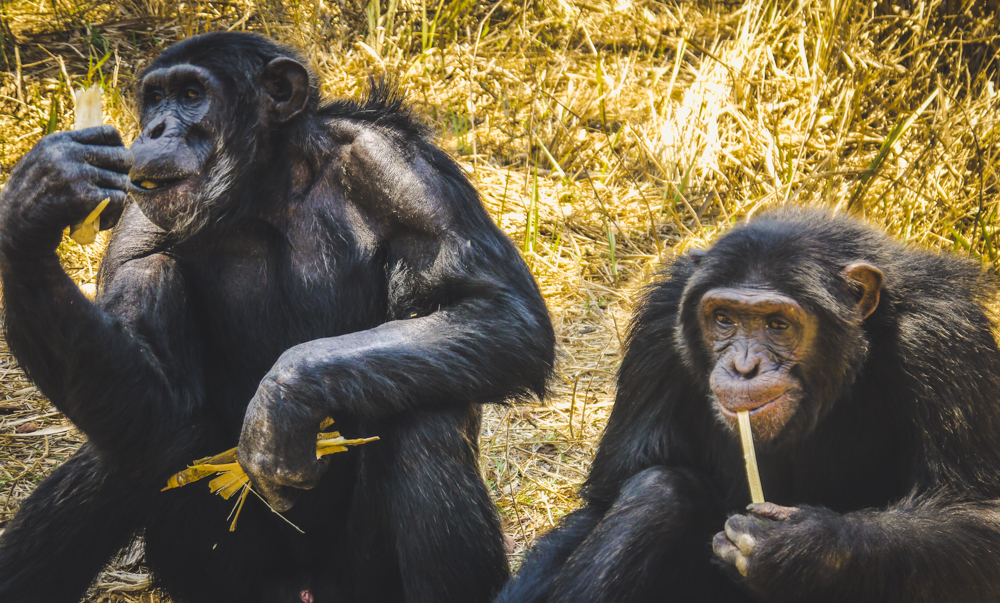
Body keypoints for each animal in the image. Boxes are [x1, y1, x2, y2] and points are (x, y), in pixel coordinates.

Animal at [0, 31, 556, 603]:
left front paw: (282, 400)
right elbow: (160, 394)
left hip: (361, 581)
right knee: (135, 439)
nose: (153, 130)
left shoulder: (406, 174)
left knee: (427, 420)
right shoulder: (142, 220)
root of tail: (303, 587)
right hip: (221, 576)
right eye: (154, 99)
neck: (264, 188)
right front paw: (38, 203)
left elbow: (500, 308)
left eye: (191, 94)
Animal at [498, 209, 1000, 603]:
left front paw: (799, 547)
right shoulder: (658, 328)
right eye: (724, 318)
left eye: (778, 324)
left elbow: (975, 512)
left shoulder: (944, 334)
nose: (743, 366)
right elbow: (609, 494)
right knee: (657, 491)